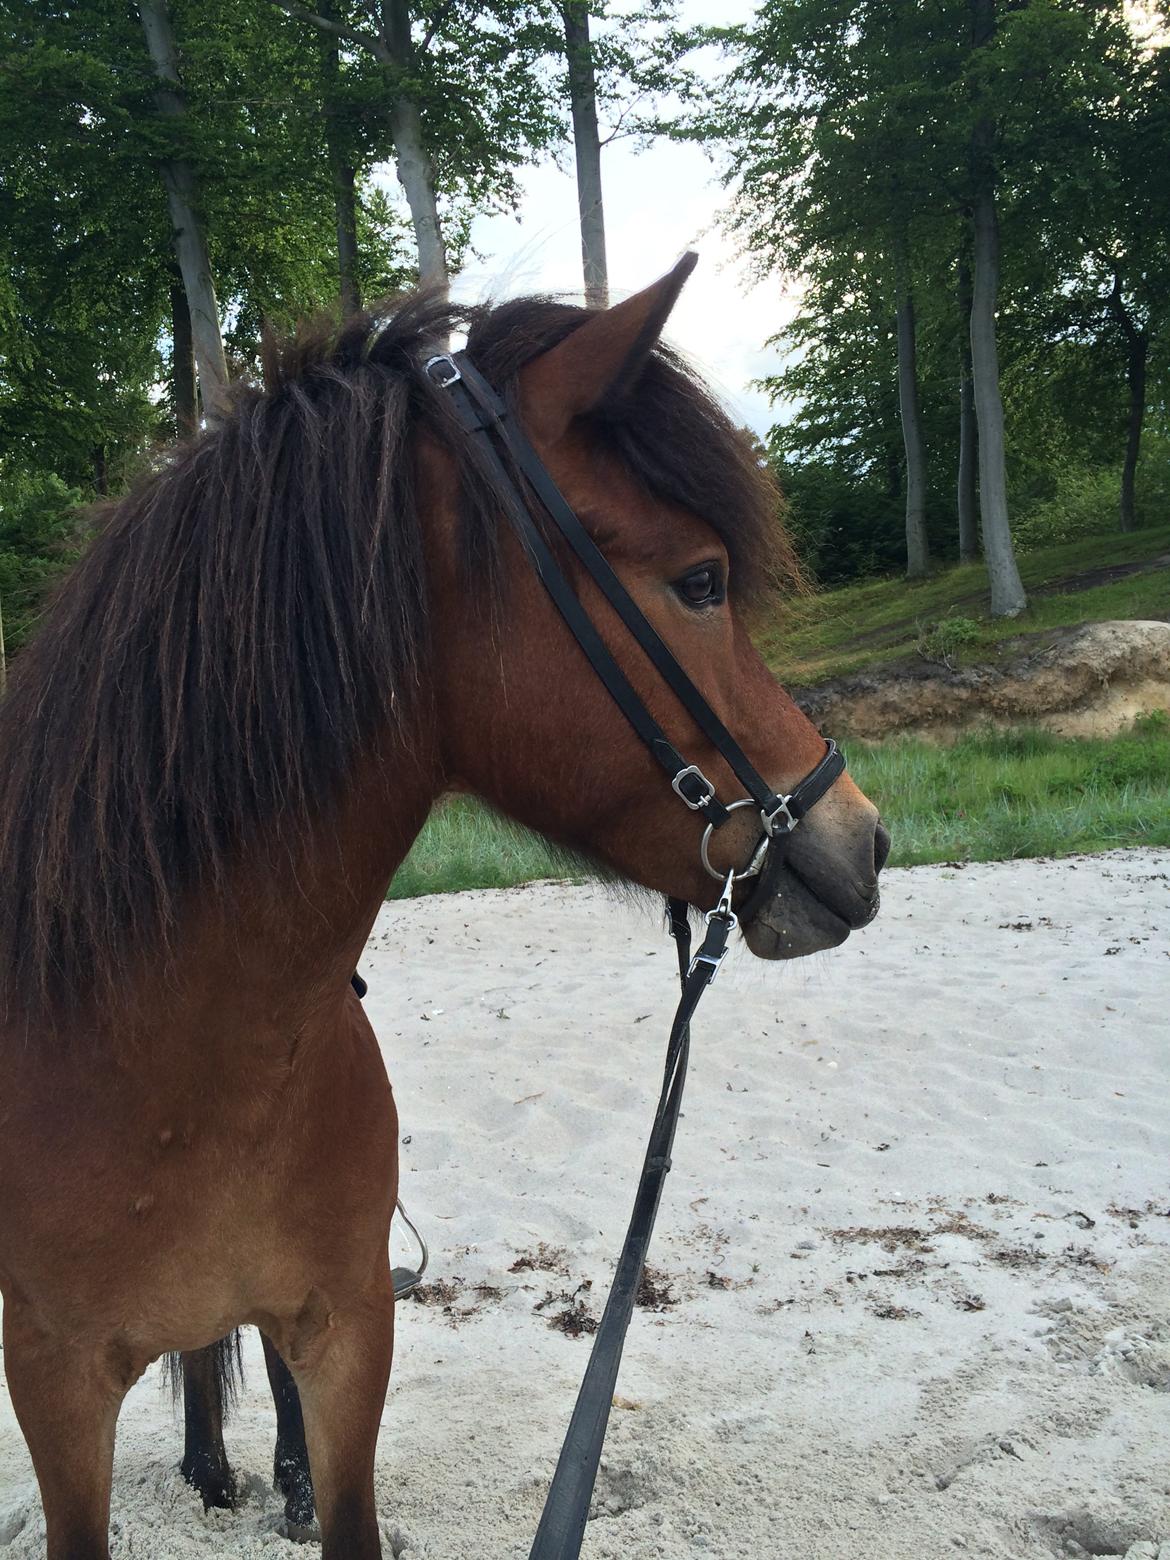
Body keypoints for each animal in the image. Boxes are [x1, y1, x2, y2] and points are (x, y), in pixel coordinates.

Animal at [0, 258, 886, 1560]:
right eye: (701, 581)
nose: (860, 840)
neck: (158, 1068)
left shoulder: (351, 1331)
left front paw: (302, 1484)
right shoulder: (56, 1385)